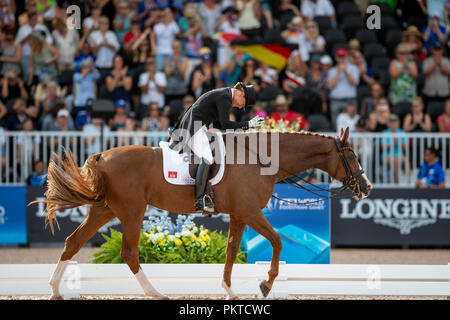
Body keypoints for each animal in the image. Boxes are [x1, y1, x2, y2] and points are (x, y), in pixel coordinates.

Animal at [34, 127, 372, 300]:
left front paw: (230, 291)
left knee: (73, 243)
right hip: (132, 211)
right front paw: (265, 285)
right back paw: (155, 293)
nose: (366, 187)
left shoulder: (239, 215)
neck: (261, 160)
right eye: (353, 155)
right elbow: (276, 241)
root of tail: (102, 155)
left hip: (104, 210)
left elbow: (231, 251)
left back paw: (55, 290)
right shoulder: (250, 211)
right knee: (128, 252)